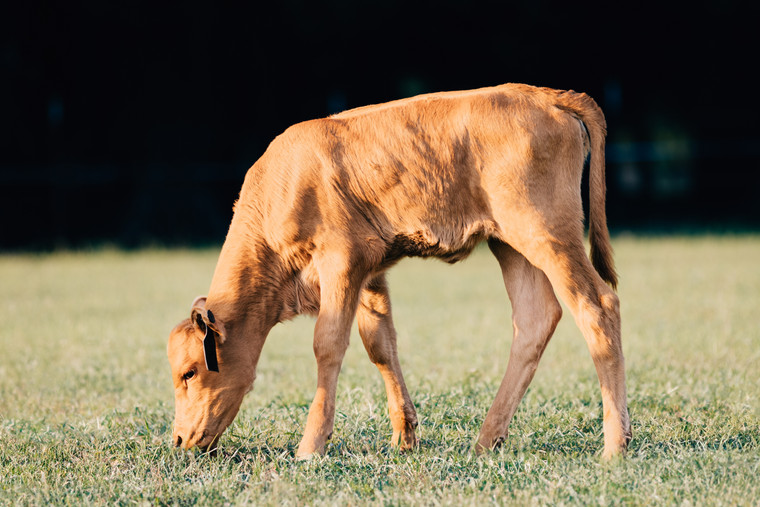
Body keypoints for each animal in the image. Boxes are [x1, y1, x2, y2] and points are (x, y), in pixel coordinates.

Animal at [169, 82, 632, 460]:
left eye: (189, 372)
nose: (177, 440)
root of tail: (546, 94)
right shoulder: (370, 271)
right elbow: (380, 344)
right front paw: (404, 437)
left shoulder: (341, 259)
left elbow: (328, 344)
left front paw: (310, 446)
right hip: (511, 243)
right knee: (535, 320)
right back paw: (486, 440)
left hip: (547, 232)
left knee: (597, 306)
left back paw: (614, 445)